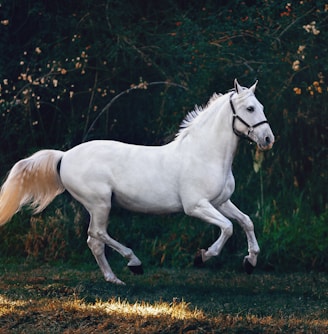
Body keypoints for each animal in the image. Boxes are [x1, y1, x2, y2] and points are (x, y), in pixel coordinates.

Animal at [0, 79, 274, 284]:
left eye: (261, 105)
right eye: (250, 109)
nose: (268, 139)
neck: (204, 155)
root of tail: (64, 156)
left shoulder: (220, 202)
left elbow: (246, 222)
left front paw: (250, 262)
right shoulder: (196, 206)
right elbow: (227, 227)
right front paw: (203, 257)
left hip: (98, 206)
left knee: (94, 241)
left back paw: (114, 279)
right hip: (100, 203)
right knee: (97, 234)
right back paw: (134, 263)